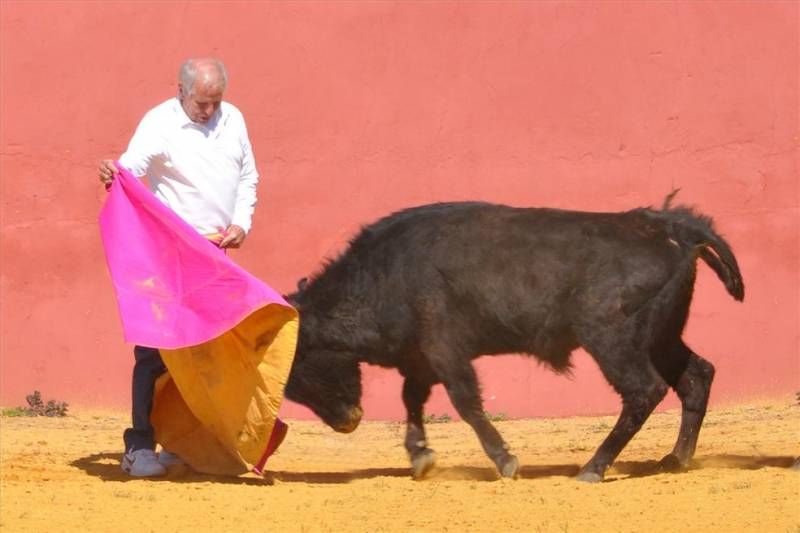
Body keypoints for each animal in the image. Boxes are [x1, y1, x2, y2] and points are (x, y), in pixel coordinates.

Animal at [282, 201, 744, 482]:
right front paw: (420, 457)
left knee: (644, 390)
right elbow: (412, 399)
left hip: (612, 338)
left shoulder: (445, 350)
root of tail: (665, 224)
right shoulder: (422, 357)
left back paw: (594, 467)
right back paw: (676, 458)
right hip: (662, 336)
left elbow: (465, 402)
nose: (347, 422)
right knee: (696, 375)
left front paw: (505, 460)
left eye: (299, 364)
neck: (382, 274)